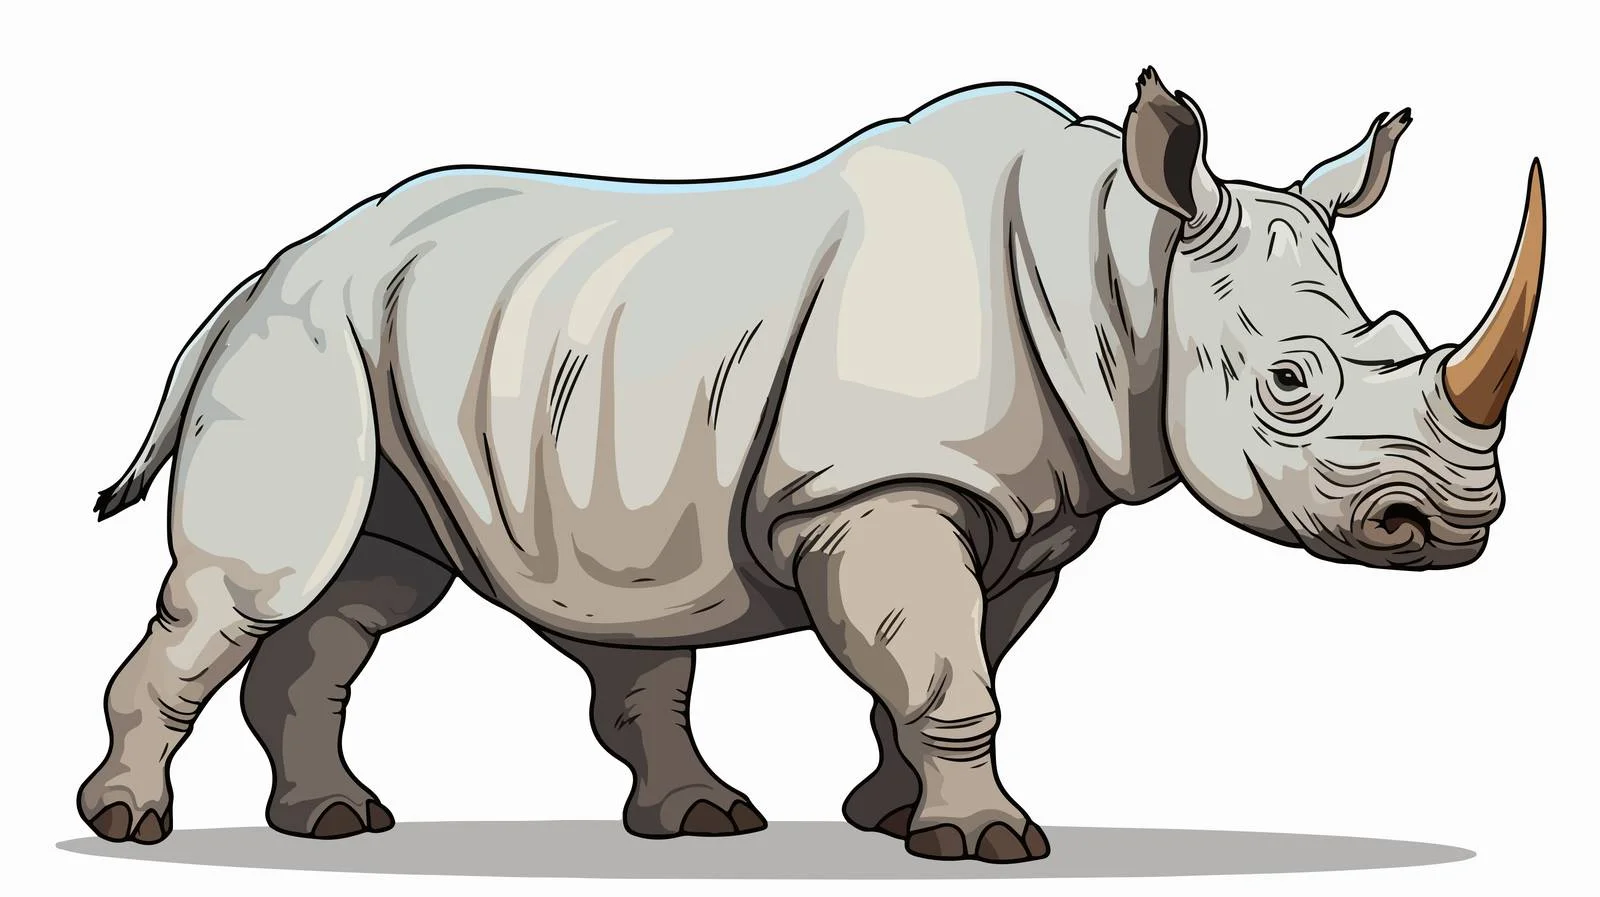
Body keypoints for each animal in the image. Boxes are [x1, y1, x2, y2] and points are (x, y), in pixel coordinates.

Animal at [80, 68, 1545, 863]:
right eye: (1292, 384)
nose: (1451, 526)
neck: (1123, 273)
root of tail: (263, 269)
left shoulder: (1021, 509)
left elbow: (958, 660)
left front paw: (898, 819)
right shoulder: (880, 486)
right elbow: (947, 669)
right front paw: (991, 845)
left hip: (414, 351)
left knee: (368, 587)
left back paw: (361, 824)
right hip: (310, 340)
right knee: (260, 585)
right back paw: (135, 827)